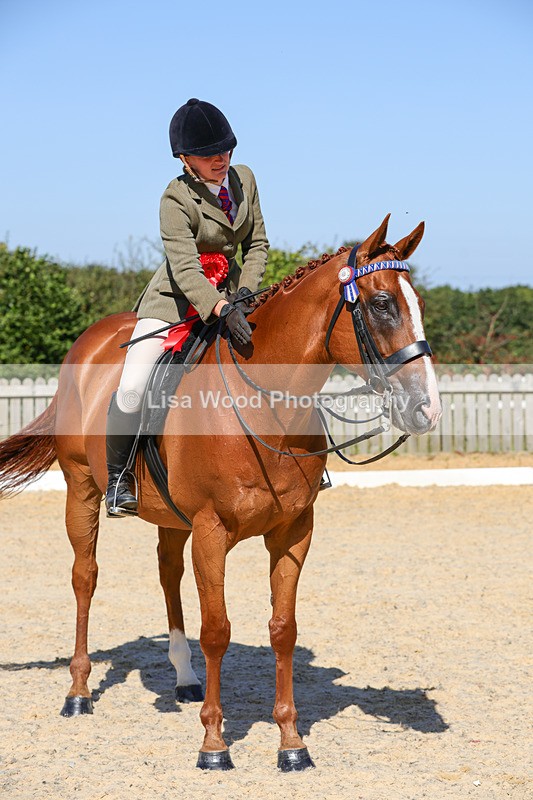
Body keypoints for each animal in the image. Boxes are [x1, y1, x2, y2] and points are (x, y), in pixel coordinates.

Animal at [0, 214, 441, 771]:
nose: (427, 409)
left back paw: (185, 678)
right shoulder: (212, 530)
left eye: (418, 303)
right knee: (85, 577)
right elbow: (217, 630)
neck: (266, 407)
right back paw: (78, 692)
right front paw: (214, 744)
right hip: (80, 487)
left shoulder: (294, 532)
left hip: (171, 516)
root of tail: (90, 339)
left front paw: (291, 743)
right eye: (383, 304)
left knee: (168, 574)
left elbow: (283, 628)